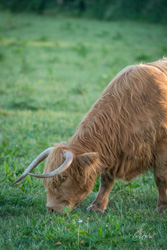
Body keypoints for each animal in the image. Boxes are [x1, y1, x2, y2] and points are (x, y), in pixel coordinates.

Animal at [13, 58, 167, 213]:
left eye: (63, 178)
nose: (51, 209)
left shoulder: (161, 147)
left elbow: (160, 177)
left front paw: (162, 207)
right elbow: (106, 179)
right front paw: (97, 206)